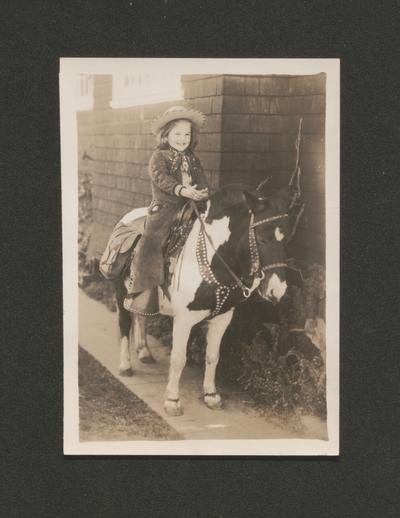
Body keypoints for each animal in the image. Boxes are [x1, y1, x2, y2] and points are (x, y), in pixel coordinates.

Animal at [112, 171, 304, 418]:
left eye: (287, 240)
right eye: (262, 238)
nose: (277, 290)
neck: (215, 259)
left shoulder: (222, 317)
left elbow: (213, 357)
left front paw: (211, 396)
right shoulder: (184, 319)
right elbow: (178, 358)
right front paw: (172, 401)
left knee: (141, 316)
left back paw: (144, 351)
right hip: (120, 294)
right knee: (124, 324)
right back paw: (125, 365)